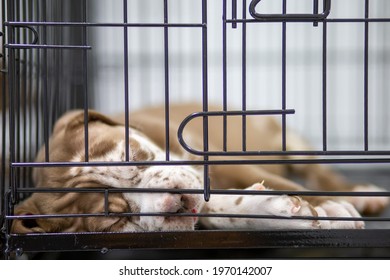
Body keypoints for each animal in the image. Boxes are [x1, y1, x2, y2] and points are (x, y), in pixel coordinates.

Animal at [10, 103, 388, 232]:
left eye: (136, 155)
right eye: (114, 220)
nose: (172, 198)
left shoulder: (224, 161)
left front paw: (332, 207)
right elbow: (220, 209)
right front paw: (268, 210)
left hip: (289, 142)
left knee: (317, 172)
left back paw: (361, 195)